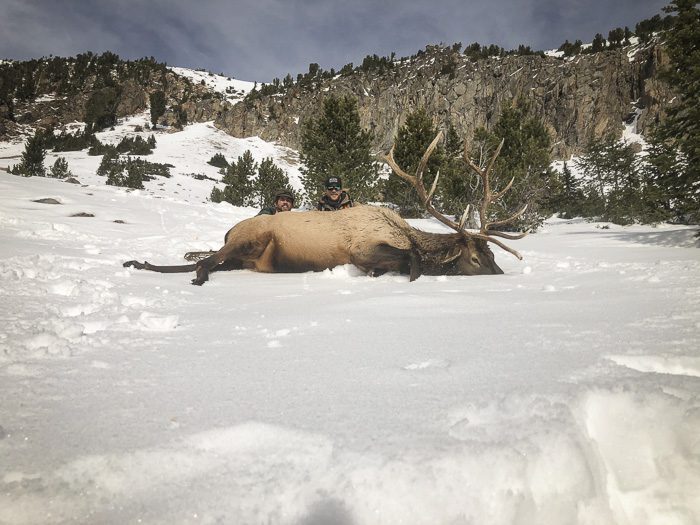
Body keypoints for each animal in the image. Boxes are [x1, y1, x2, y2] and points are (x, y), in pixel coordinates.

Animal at [123, 131, 527, 285]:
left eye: (493, 255)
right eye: (474, 258)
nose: (502, 277)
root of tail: (229, 231)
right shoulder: (363, 248)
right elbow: (409, 260)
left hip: (244, 256)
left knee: (208, 260)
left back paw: (140, 262)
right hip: (247, 239)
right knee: (204, 261)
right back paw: (184, 274)